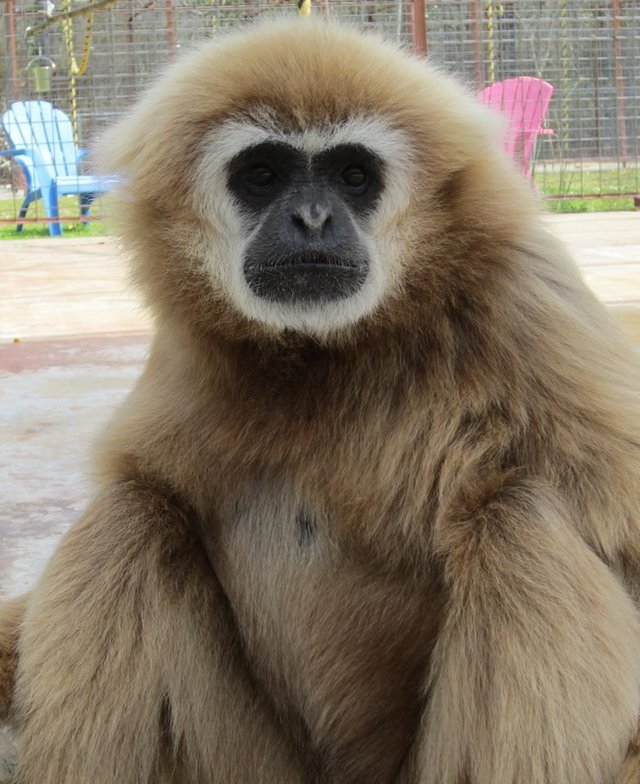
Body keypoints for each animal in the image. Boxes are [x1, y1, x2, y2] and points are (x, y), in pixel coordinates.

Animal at [0, 17, 639, 784]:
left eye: (353, 175)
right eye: (263, 174)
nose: (310, 217)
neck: (324, 360)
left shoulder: (533, 299)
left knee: (516, 518)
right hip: (250, 763)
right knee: (132, 512)